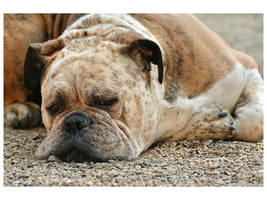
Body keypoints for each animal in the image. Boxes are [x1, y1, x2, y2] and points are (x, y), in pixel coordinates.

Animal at [3, 13, 264, 161]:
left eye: (107, 101)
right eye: (53, 108)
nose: (73, 121)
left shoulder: (245, 68)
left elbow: (254, 123)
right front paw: (206, 122)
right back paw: (19, 110)